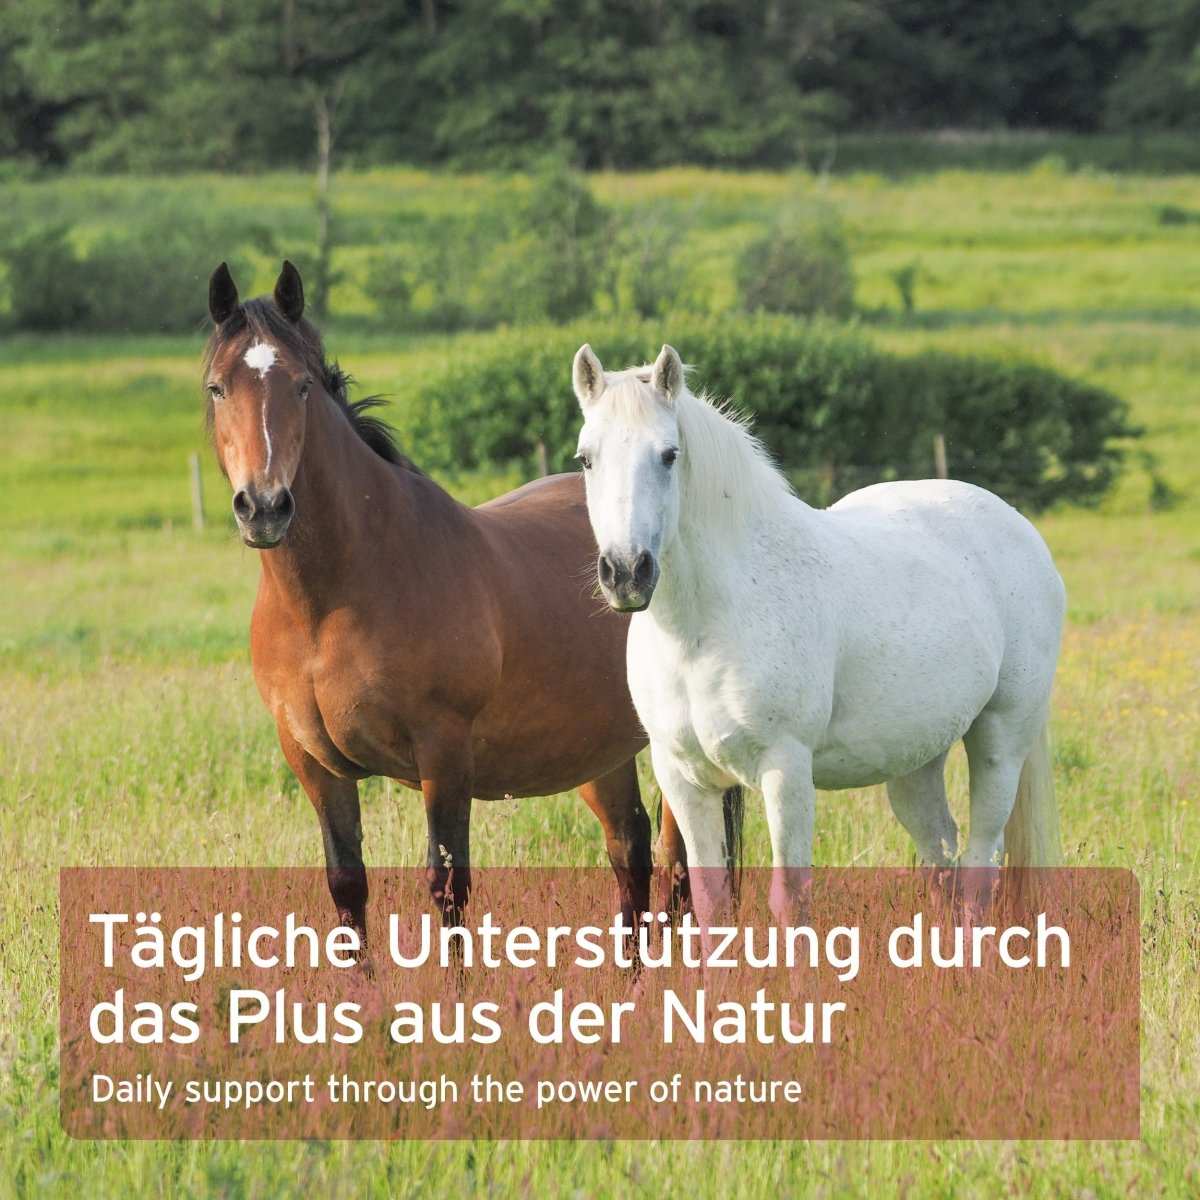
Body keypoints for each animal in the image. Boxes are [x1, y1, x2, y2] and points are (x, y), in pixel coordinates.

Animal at [201, 260, 737, 942]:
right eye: (218, 388)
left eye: (301, 387)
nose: (265, 507)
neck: (331, 602)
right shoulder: (316, 767)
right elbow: (347, 888)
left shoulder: (444, 753)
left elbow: (448, 887)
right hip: (602, 750)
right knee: (630, 855)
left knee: (682, 868)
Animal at [570, 341, 1066, 925]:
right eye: (586, 458)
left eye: (669, 454)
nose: (627, 572)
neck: (705, 628)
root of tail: (1016, 525)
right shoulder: (684, 779)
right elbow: (711, 902)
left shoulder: (785, 771)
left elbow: (791, 899)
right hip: (916, 758)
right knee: (941, 853)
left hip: (1000, 740)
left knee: (979, 866)